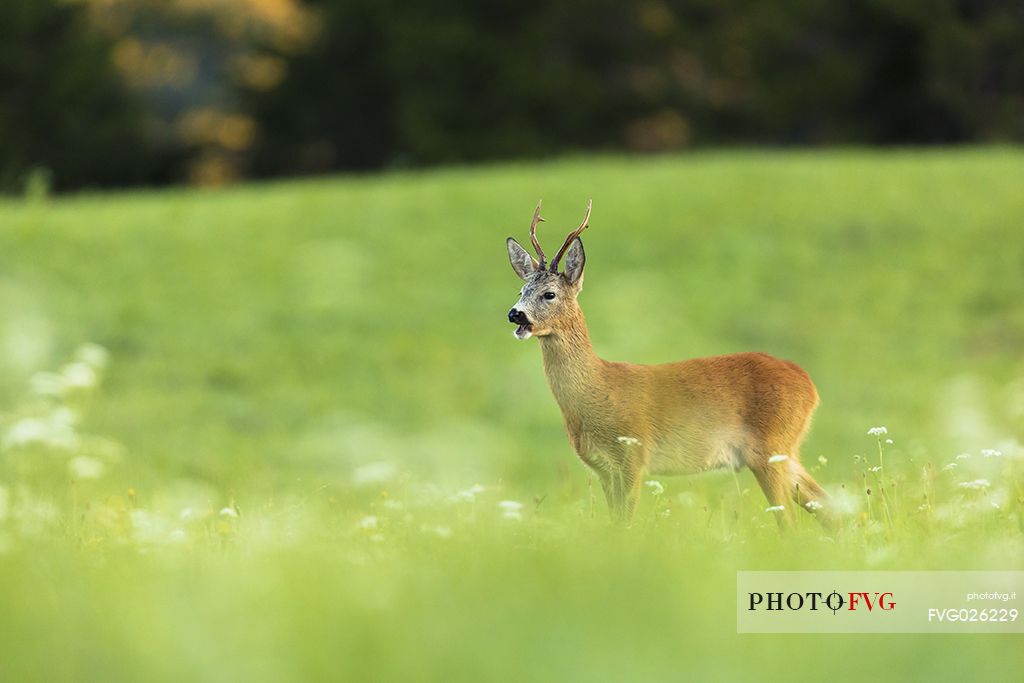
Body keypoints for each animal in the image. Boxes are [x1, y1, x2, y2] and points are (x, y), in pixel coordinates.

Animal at [507, 198, 827, 524]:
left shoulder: (633, 456)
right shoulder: (604, 470)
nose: (515, 314)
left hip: (771, 448)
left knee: (791, 521)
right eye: (521, 290)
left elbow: (625, 524)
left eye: (549, 294)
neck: (597, 390)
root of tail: (808, 384)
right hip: (784, 452)